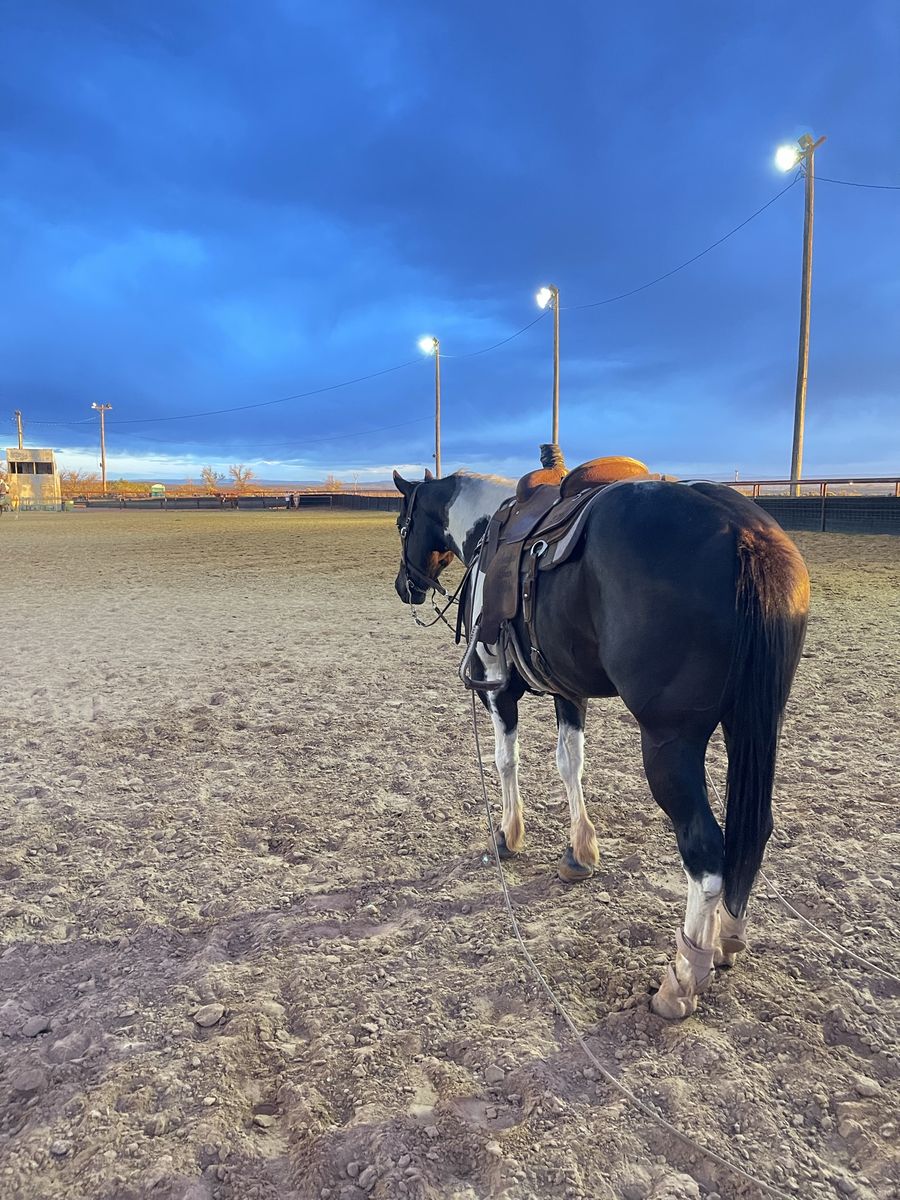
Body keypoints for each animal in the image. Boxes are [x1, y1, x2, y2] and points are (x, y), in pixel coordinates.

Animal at [392, 467, 809, 1018]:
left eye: (401, 522)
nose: (404, 586)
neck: (486, 529)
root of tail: (746, 533)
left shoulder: (498, 687)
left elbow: (507, 759)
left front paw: (508, 834)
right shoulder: (568, 690)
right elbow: (571, 763)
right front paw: (580, 852)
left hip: (669, 742)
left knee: (705, 851)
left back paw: (683, 978)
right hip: (754, 722)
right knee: (755, 832)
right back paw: (726, 940)